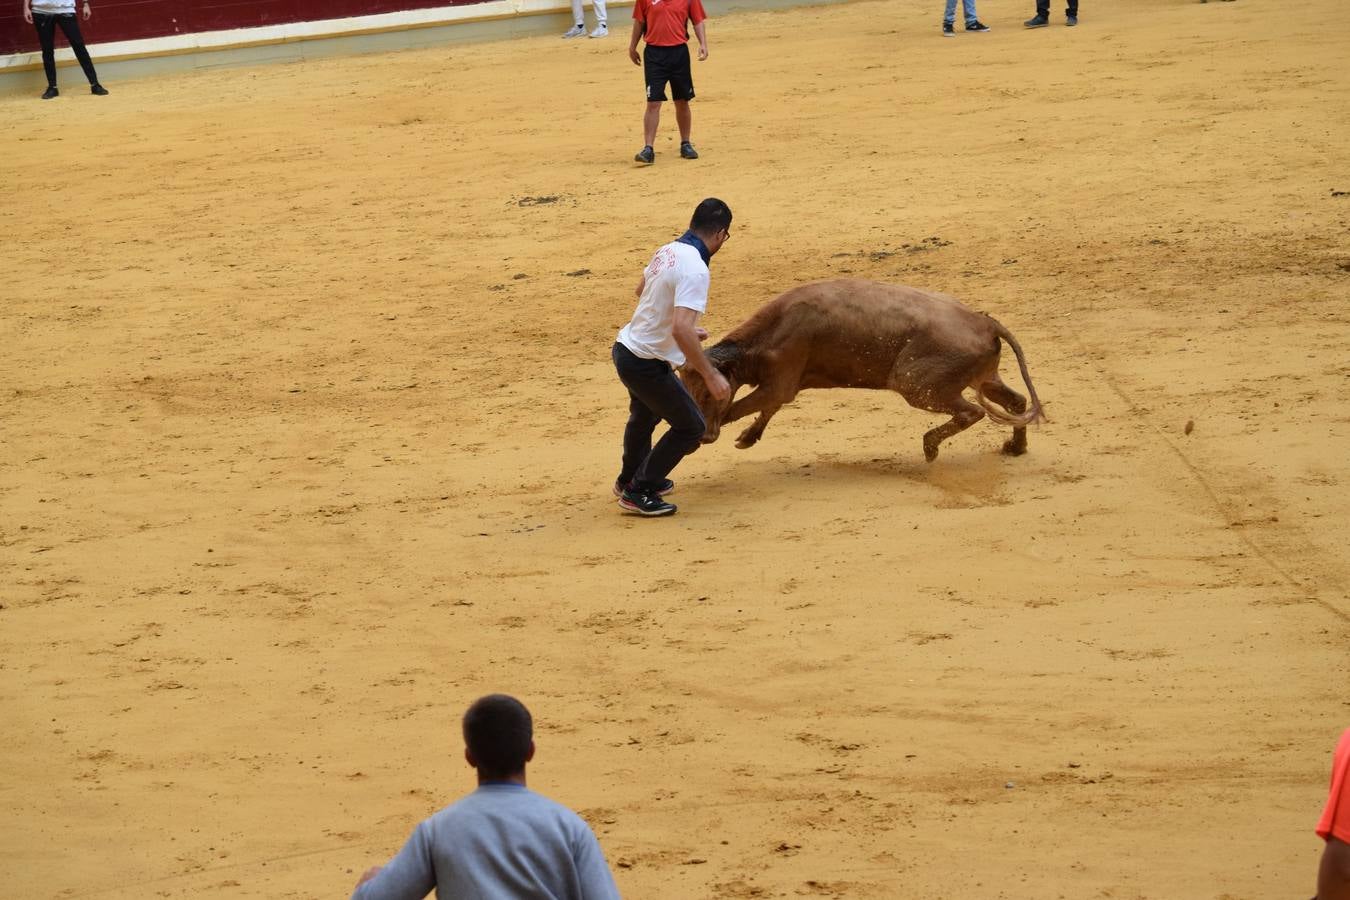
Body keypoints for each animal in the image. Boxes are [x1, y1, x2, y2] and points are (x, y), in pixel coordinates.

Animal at [685, 277, 1042, 461]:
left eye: (710, 392)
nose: (704, 435)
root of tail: (984, 321)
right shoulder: (783, 386)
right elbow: (766, 408)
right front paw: (748, 437)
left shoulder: (780, 383)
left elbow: (741, 407)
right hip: (984, 377)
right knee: (1017, 402)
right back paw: (1015, 447)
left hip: (913, 384)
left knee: (972, 412)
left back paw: (930, 446)